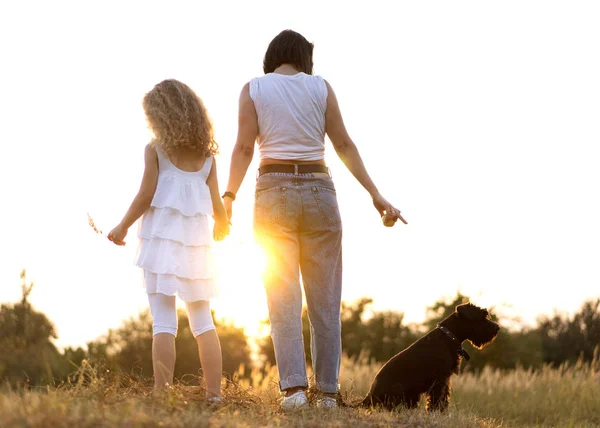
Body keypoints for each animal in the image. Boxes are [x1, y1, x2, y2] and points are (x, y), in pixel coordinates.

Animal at [358, 302, 500, 412]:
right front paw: (436, 412)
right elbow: (437, 398)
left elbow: (444, 397)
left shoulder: (445, 379)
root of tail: (369, 396)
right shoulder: (439, 379)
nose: (497, 328)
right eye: (482, 317)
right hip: (398, 390)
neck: (448, 337)